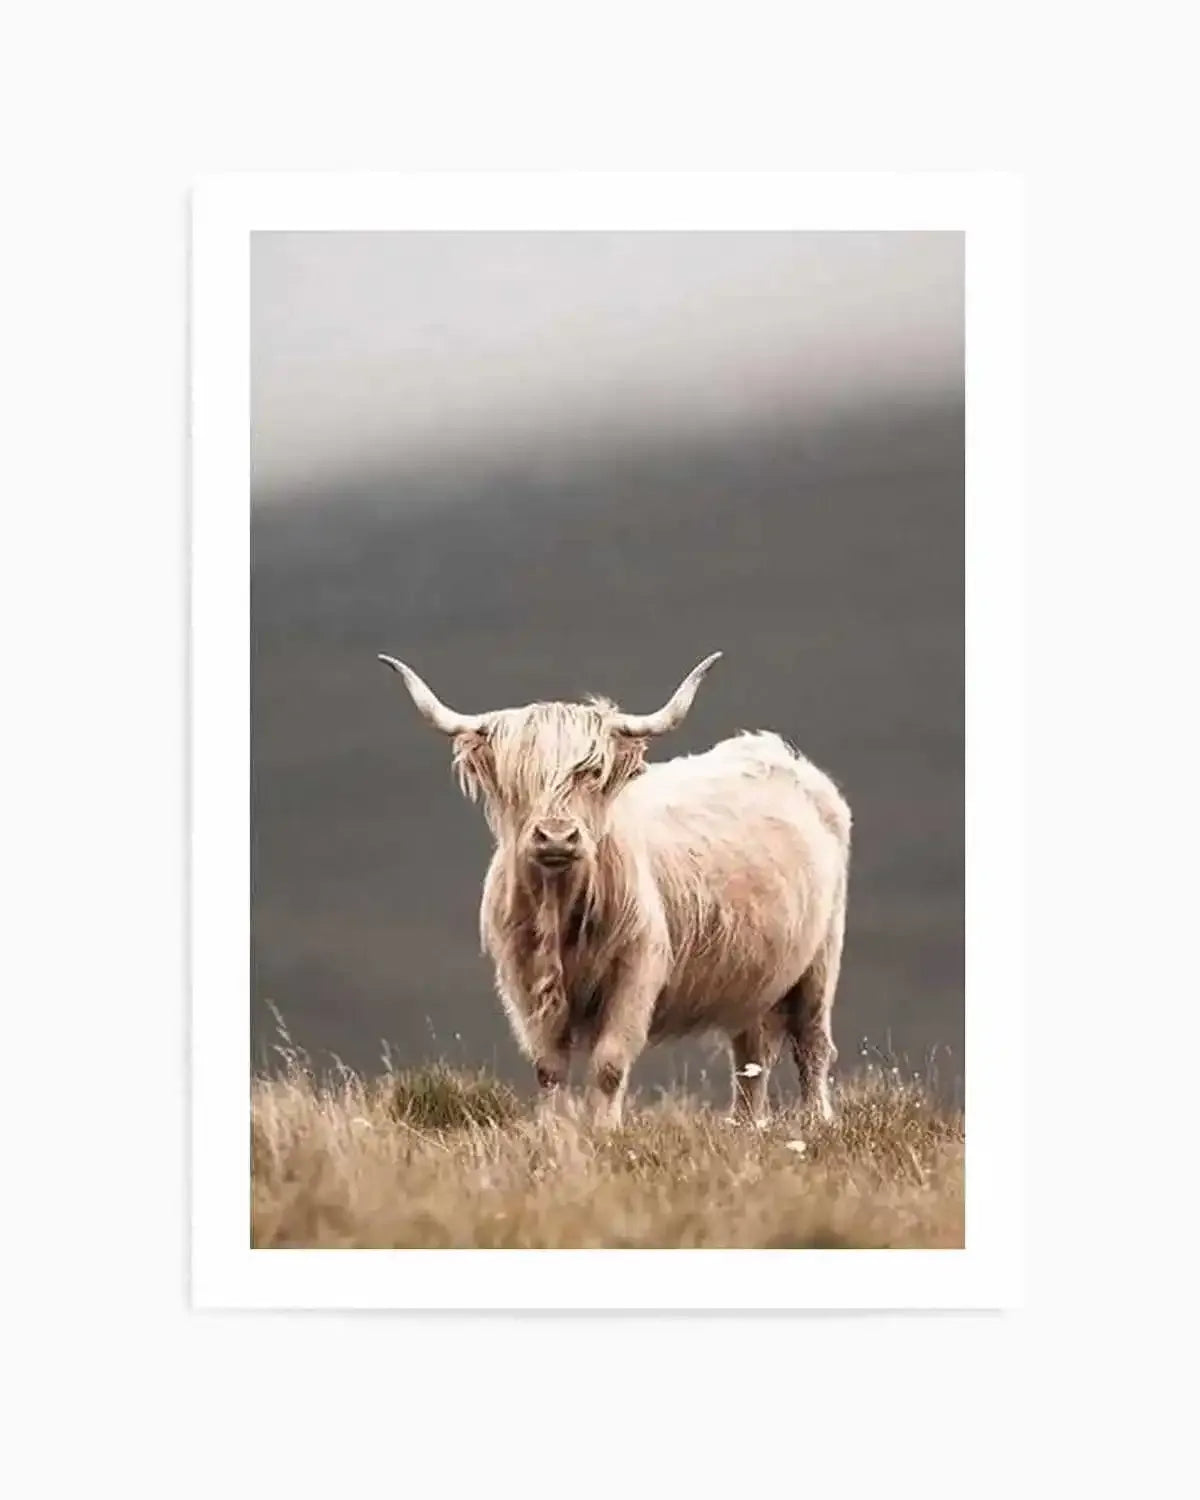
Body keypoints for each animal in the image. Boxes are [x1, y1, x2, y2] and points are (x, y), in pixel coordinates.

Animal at [379, 651, 851, 1127]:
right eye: (519, 779)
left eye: (592, 773)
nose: (556, 836)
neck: (561, 911)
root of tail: (773, 750)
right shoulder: (523, 979)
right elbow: (548, 1067)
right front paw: (555, 1130)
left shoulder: (637, 971)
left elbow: (609, 1063)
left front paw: (605, 1130)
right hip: (753, 976)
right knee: (751, 1054)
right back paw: (745, 1126)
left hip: (821, 958)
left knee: (811, 1043)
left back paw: (818, 1120)